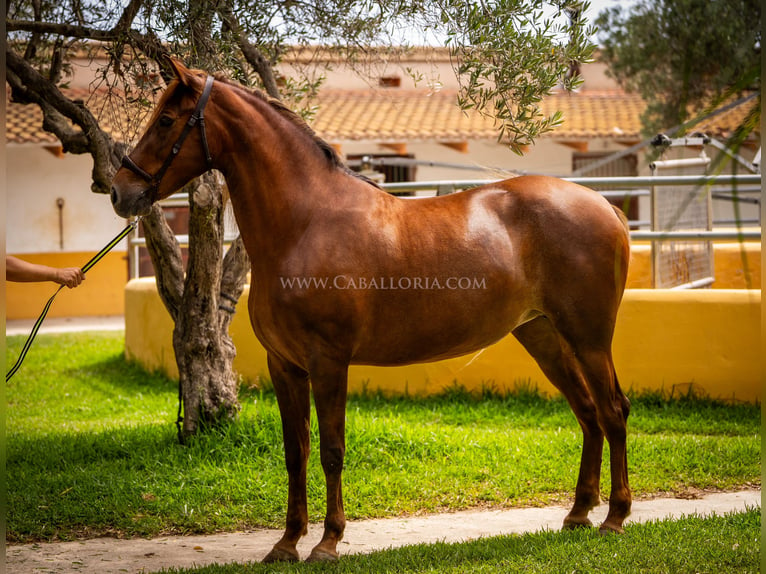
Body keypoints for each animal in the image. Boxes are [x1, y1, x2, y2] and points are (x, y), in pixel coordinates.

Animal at [111, 60, 632, 564]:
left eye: (166, 119)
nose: (119, 191)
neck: (305, 225)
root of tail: (605, 206)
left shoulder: (328, 362)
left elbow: (331, 450)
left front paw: (327, 543)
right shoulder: (285, 366)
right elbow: (295, 452)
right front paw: (286, 543)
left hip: (588, 339)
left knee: (612, 411)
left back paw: (615, 516)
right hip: (544, 337)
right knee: (588, 413)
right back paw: (579, 513)